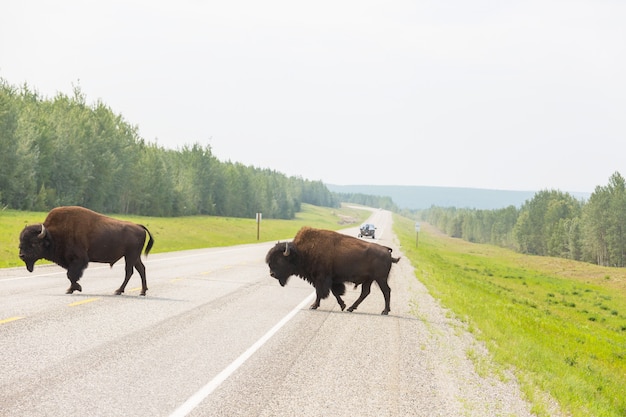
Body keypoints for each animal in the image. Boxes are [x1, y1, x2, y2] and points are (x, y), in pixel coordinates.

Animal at [17, 206, 154, 294]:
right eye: (21, 243)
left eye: (33, 243)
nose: (22, 255)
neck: (53, 234)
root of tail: (139, 226)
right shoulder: (70, 261)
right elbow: (71, 275)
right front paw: (72, 289)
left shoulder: (79, 259)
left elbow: (71, 274)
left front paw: (75, 288)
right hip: (134, 257)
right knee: (141, 269)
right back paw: (142, 291)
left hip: (130, 256)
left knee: (129, 272)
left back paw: (119, 291)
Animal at [264, 226, 400, 314]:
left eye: (280, 260)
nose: (272, 274)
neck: (302, 252)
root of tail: (387, 251)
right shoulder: (331, 280)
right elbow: (335, 292)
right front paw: (343, 305)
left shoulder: (321, 278)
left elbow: (320, 292)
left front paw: (313, 306)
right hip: (369, 280)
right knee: (365, 292)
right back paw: (351, 308)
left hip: (380, 279)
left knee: (386, 291)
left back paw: (385, 311)